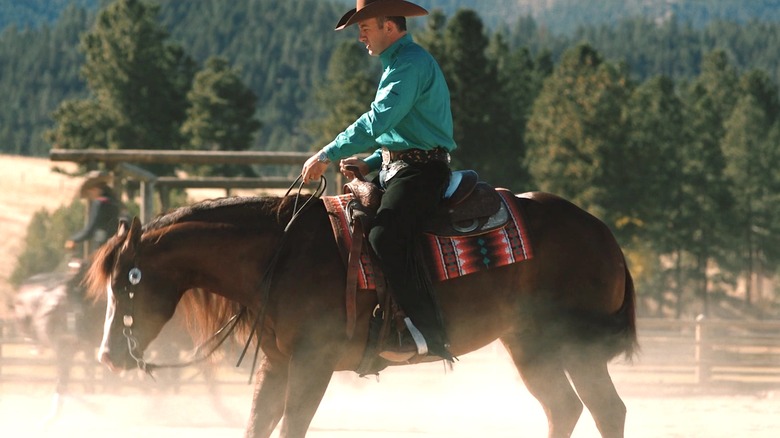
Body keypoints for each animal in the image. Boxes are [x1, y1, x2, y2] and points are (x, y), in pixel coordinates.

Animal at [88, 189, 636, 438]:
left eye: (126, 284)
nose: (107, 357)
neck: (280, 255)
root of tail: (602, 233)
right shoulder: (278, 364)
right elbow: (258, 425)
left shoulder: (313, 364)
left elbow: (292, 426)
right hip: (530, 345)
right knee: (564, 408)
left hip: (578, 346)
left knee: (607, 410)